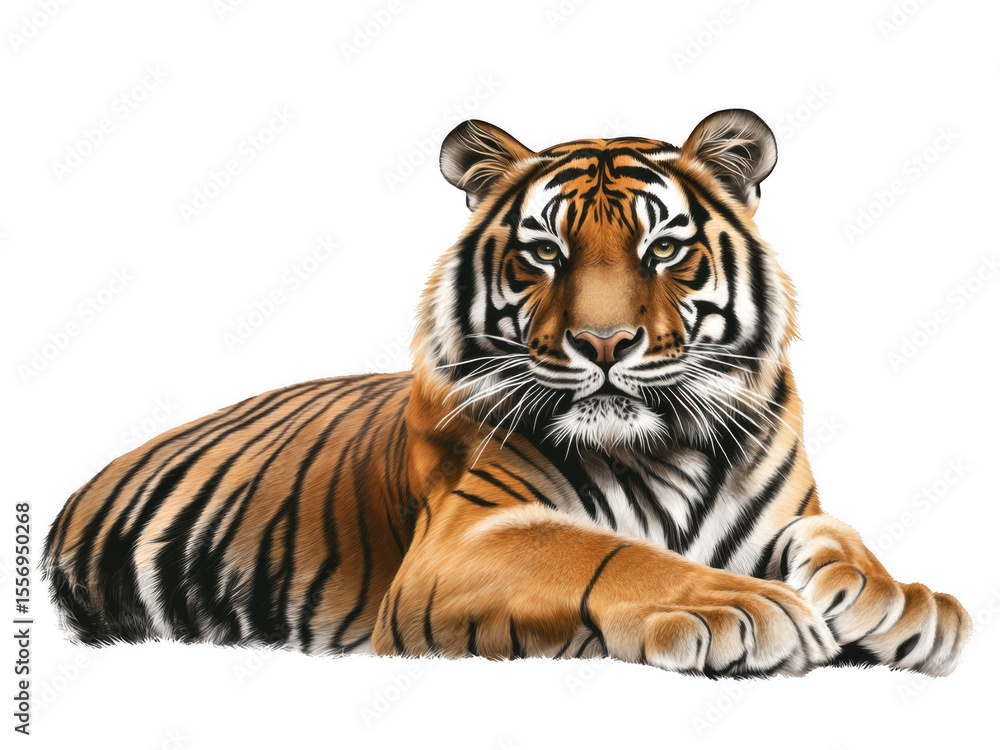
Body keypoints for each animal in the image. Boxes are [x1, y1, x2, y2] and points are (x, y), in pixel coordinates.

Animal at [43, 109, 970, 677]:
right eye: (546, 253)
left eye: (664, 249)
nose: (604, 343)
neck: (664, 448)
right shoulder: (457, 545)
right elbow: (597, 551)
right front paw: (735, 606)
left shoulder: (782, 512)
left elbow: (838, 534)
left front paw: (905, 602)